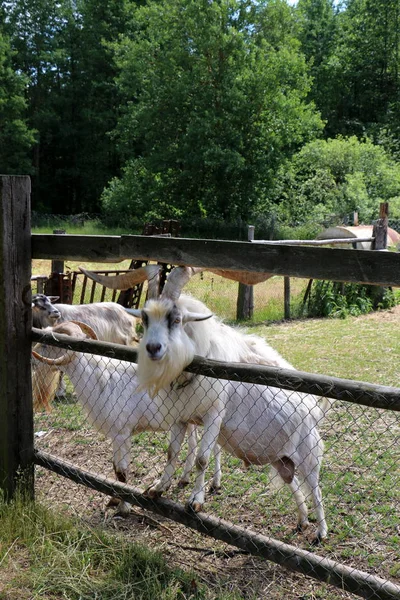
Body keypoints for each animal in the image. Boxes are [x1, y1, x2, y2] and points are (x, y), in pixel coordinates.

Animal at [32, 322, 223, 512]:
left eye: (46, 345)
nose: (33, 362)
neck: (101, 380)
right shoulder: (115, 435)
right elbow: (116, 469)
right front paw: (114, 500)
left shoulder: (122, 434)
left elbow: (122, 472)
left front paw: (123, 508)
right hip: (189, 418)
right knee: (193, 443)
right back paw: (185, 479)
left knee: (214, 448)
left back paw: (214, 485)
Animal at [127, 268, 328, 544]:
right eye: (145, 319)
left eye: (176, 319)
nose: (153, 348)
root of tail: (313, 411)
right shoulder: (181, 417)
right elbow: (172, 452)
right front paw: (158, 488)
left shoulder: (214, 414)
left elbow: (202, 458)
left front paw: (195, 501)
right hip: (282, 460)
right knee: (294, 483)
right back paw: (302, 521)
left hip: (309, 454)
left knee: (315, 488)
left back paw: (321, 532)